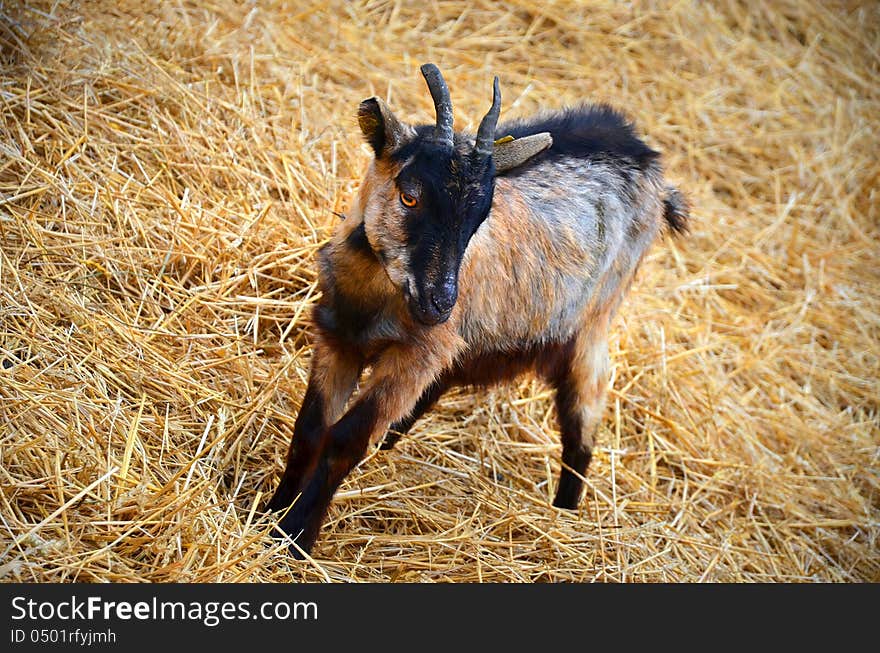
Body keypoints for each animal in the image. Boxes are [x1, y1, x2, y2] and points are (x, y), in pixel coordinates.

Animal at [264, 63, 692, 556]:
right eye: (409, 196)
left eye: (479, 216)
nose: (439, 303)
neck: (378, 297)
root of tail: (647, 161)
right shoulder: (339, 338)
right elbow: (310, 429)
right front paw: (269, 514)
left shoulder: (414, 357)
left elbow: (344, 441)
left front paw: (295, 538)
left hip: (590, 324)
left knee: (585, 412)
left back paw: (565, 513)